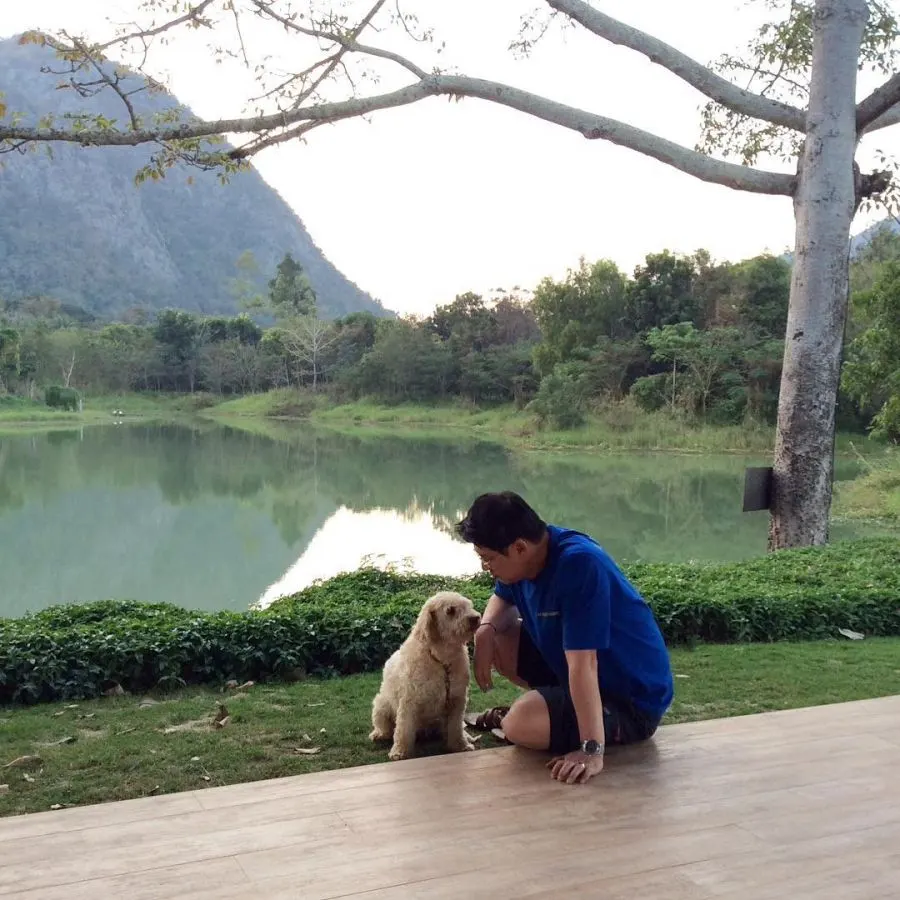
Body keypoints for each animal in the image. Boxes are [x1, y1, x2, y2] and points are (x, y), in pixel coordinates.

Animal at [370, 591, 482, 760]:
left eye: (469, 605)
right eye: (450, 610)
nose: (476, 618)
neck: (442, 661)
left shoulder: (457, 700)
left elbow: (455, 727)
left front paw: (461, 745)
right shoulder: (409, 702)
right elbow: (403, 729)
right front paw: (400, 751)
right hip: (381, 705)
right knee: (385, 727)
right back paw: (378, 734)